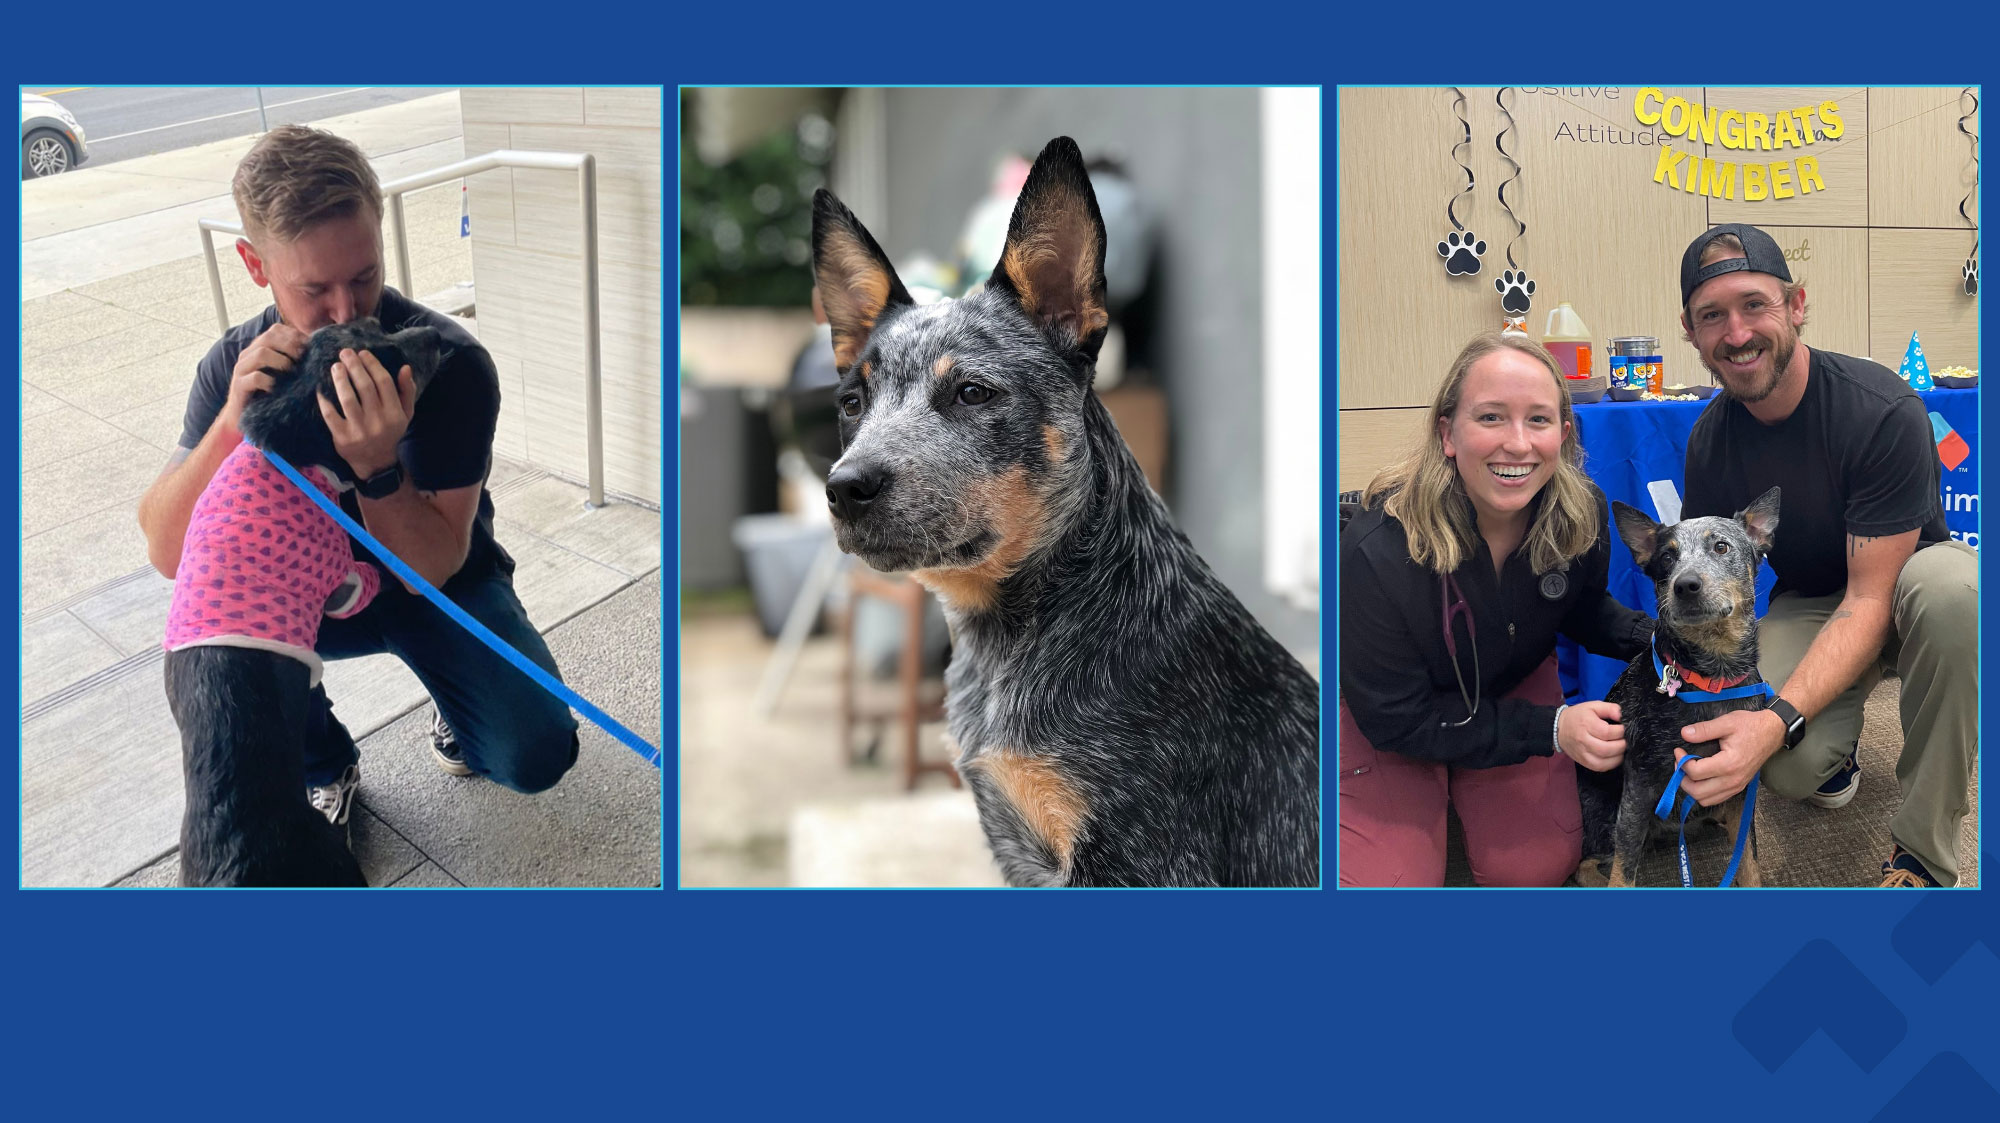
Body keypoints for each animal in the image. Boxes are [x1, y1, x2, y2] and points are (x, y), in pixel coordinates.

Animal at [166, 315, 444, 883]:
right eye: (389, 361)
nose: (438, 337)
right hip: (338, 864)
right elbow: (371, 576)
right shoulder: (343, 583)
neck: (288, 452)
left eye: (376, 325)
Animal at [1576, 485, 1784, 887]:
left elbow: (1748, 859)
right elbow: (1623, 871)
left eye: (1721, 546)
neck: (1711, 677)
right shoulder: (1639, 787)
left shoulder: (1740, 781)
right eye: (1667, 557)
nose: (1685, 584)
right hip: (1607, 815)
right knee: (1588, 864)